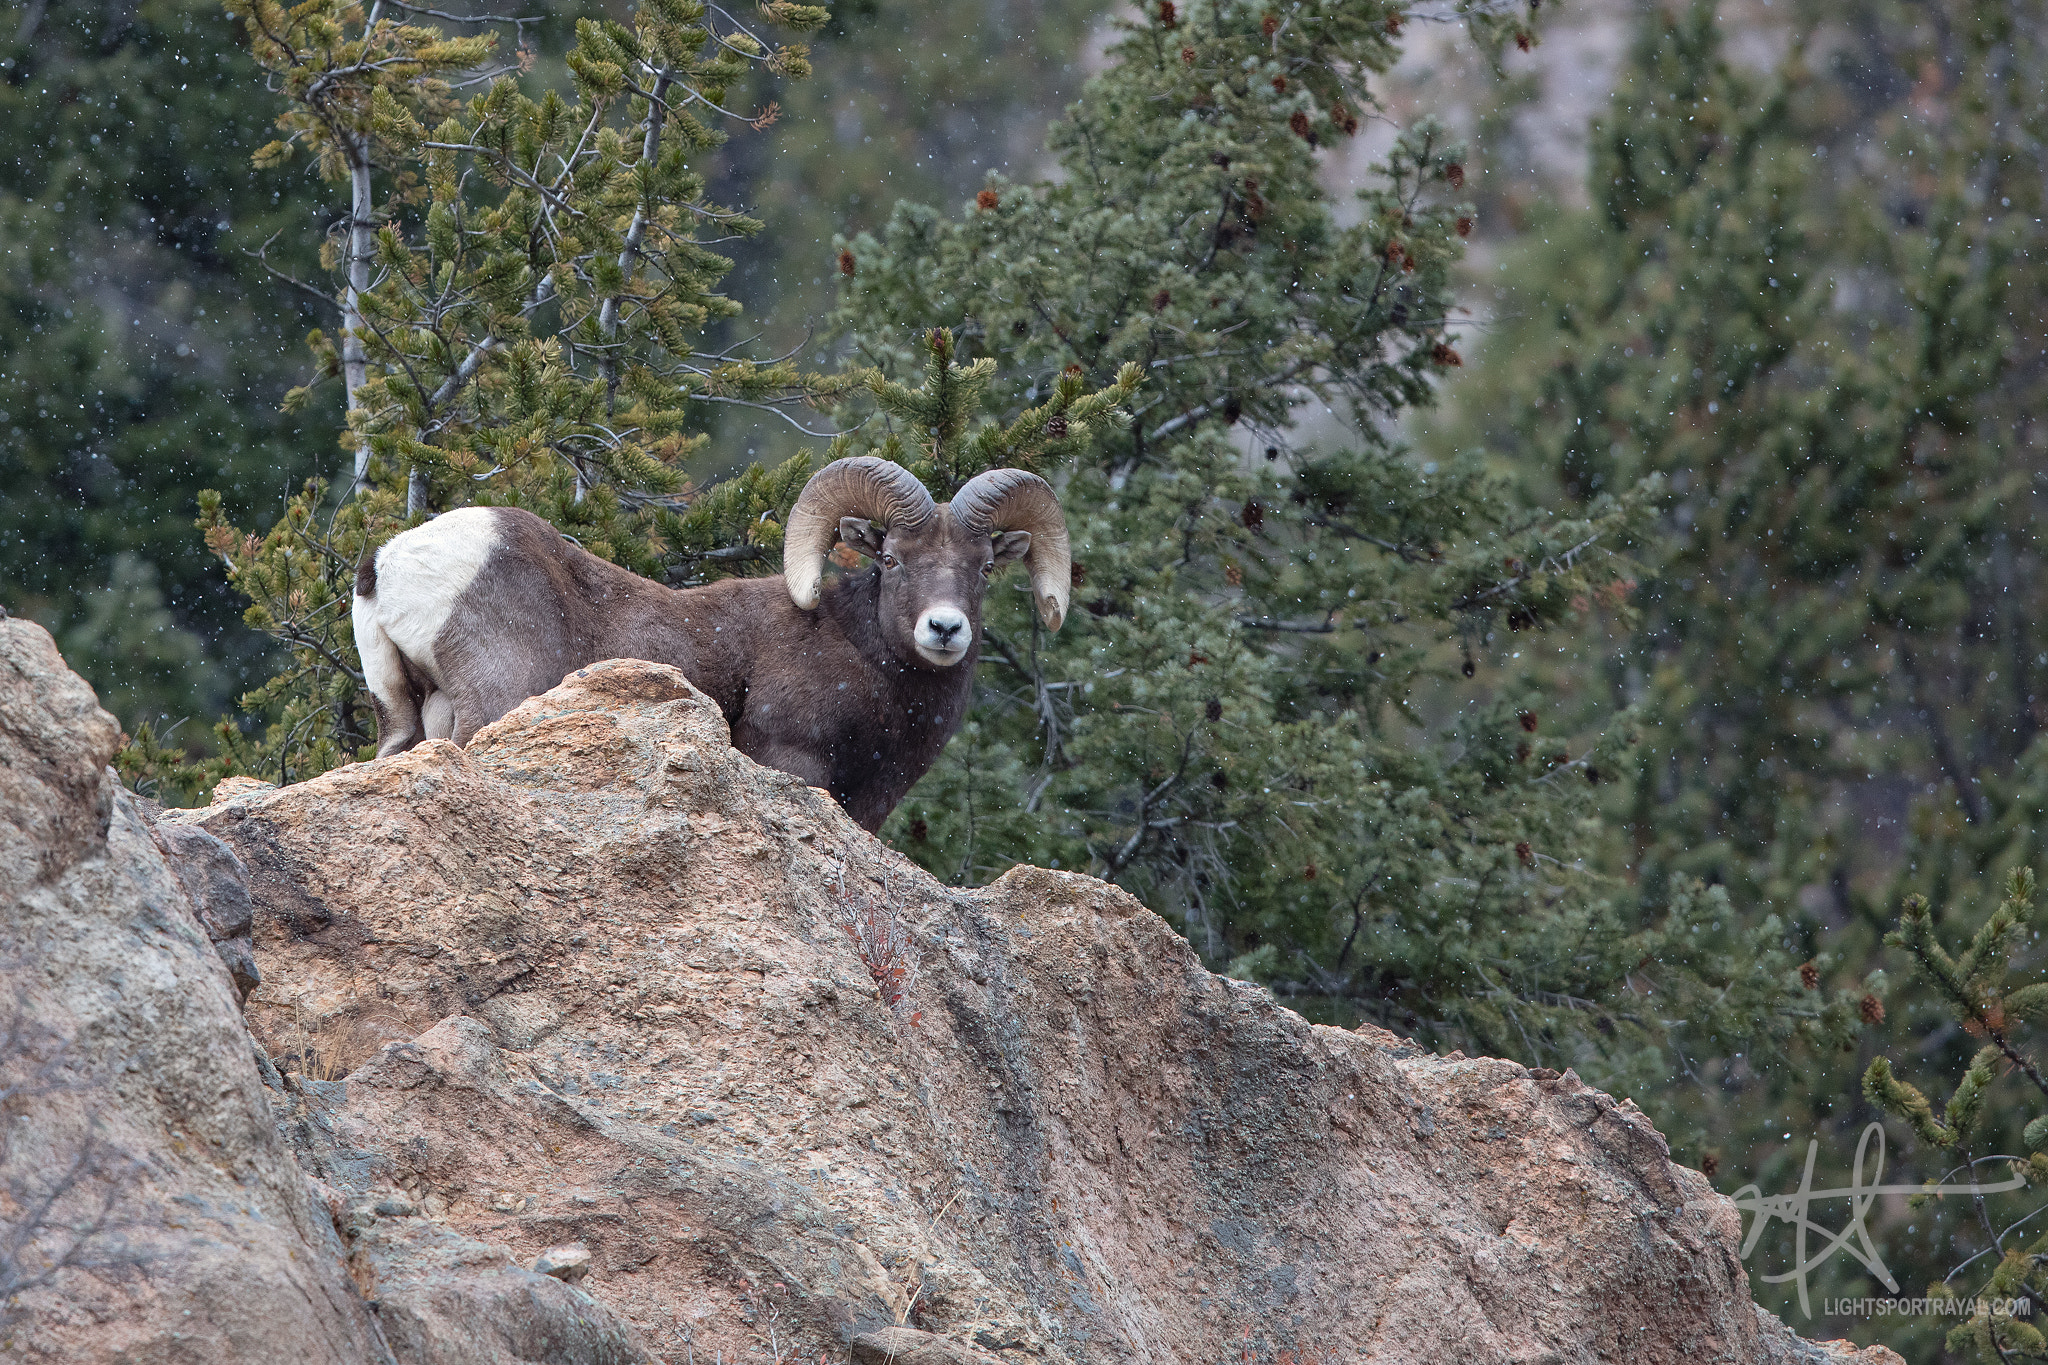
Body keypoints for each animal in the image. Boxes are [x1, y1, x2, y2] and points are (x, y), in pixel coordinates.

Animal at [348, 454, 1073, 826]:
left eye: (984, 567)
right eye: (892, 559)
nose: (944, 628)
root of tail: (388, 563)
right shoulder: (794, 760)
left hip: (406, 714)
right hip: (493, 702)